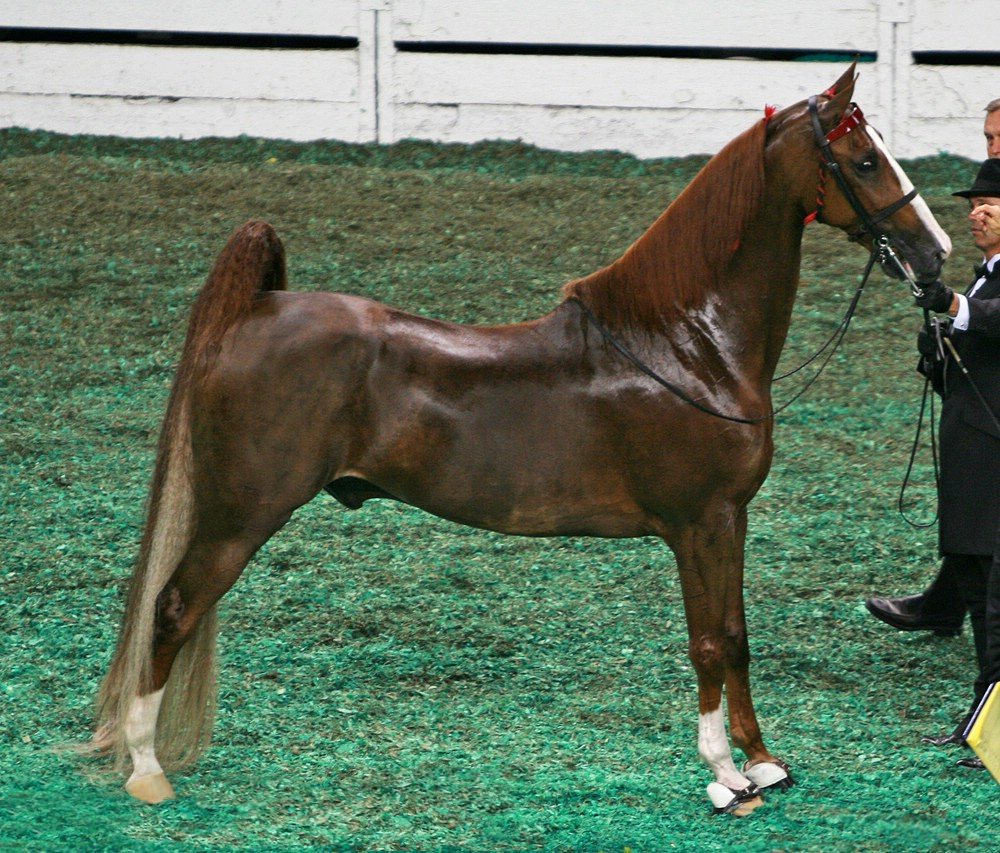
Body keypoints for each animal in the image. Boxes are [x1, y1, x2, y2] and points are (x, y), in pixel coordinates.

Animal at [94, 66, 952, 812]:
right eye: (865, 159)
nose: (937, 255)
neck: (689, 344)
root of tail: (254, 311)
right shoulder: (701, 522)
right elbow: (708, 642)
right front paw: (724, 775)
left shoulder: (729, 521)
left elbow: (736, 637)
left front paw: (764, 761)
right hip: (240, 514)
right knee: (172, 609)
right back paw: (145, 769)